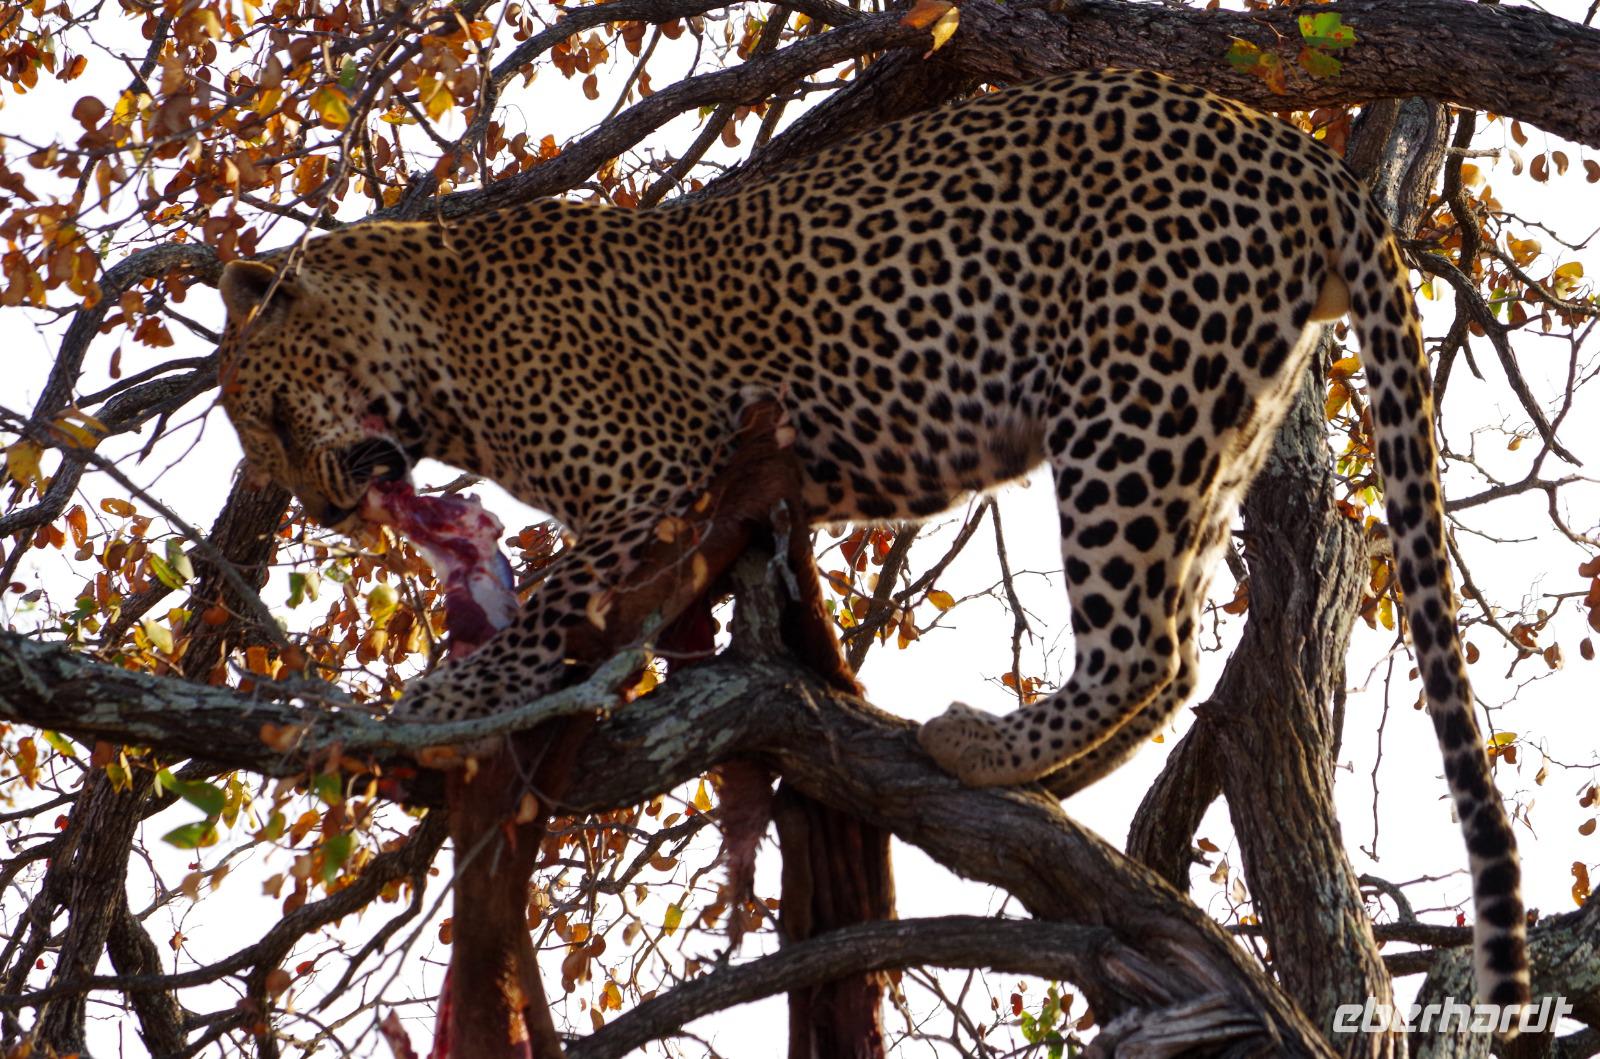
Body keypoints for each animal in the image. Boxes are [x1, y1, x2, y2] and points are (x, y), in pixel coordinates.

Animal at [216, 69, 1528, 1009]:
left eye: (271, 420)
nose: (323, 511)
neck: (437, 348)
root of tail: (1291, 149)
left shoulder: (653, 471)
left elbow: (549, 605)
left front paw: (443, 700)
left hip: (1133, 400)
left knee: (1145, 644)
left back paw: (979, 748)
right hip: (1217, 411)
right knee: (1173, 653)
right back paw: (1041, 771)